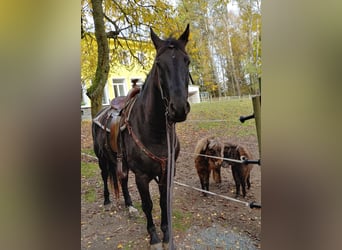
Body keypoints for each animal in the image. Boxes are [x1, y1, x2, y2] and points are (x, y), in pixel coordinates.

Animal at [92, 24, 191, 249]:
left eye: (187, 61)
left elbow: (163, 202)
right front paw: (153, 237)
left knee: (121, 180)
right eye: (159, 64)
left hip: (118, 160)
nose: (179, 108)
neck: (155, 131)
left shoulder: (167, 172)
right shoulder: (142, 176)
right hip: (102, 159)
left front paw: (166, 234)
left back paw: (129, 206)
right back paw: (107, 201)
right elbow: (148, 204)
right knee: (105, 176)